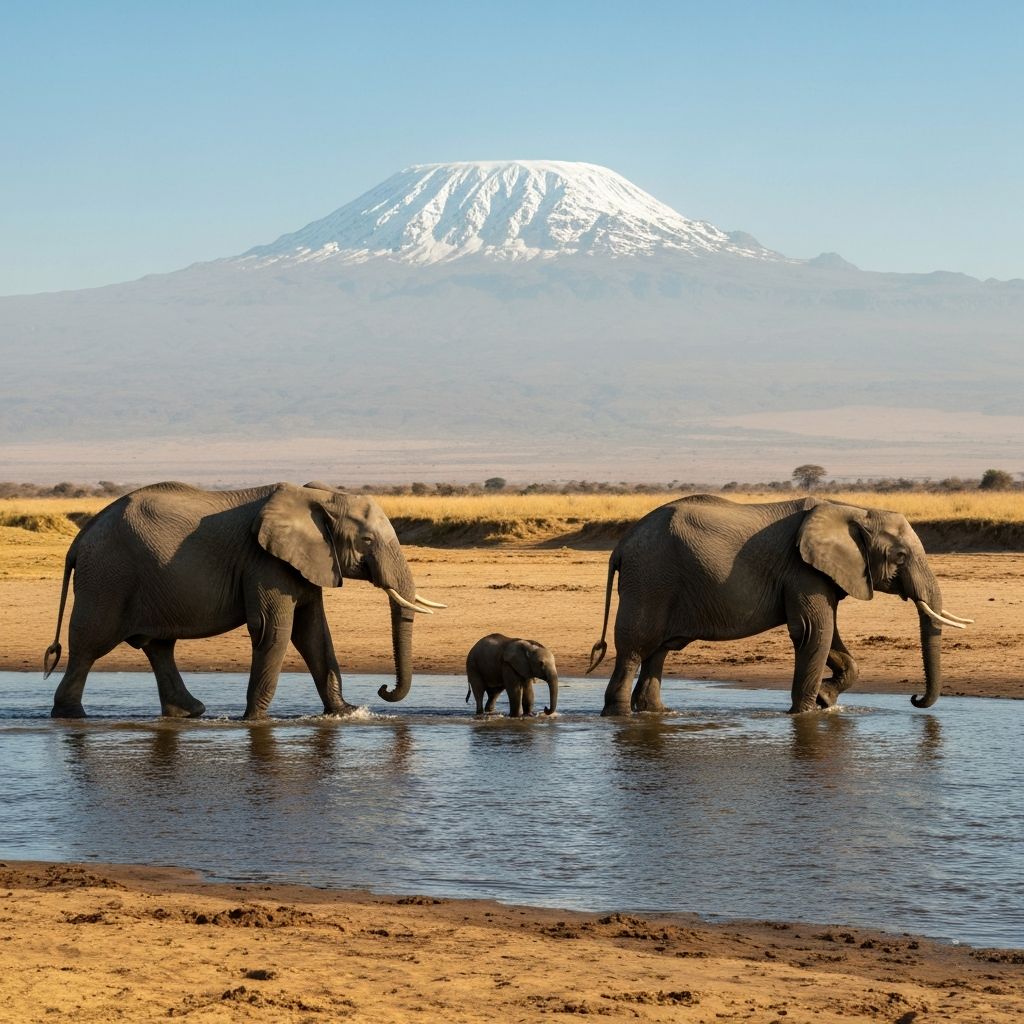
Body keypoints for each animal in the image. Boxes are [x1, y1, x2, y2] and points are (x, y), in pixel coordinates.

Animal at [44, 481, 444, 720]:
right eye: (367, 541)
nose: (383, 689)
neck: (319, 496)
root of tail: (80, 538)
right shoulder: (265, 562)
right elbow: (273, 631)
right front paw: (254, 721)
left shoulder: (304, 562)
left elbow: (314, 633)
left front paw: (344, 713)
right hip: (107, 578)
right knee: (89, 646)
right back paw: (70, 716)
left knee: (158, 646)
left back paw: (189, 712)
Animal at [587, 494, 972, 716]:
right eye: (900, 556)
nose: (915, 699)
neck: (854, 510)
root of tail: (621, 546)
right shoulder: (802, 568)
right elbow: (814, 632)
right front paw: (805, 714)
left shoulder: (821, 573)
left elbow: (830, 637)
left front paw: (826, 700)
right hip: (649, 578)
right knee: (634, 649)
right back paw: (618, 717)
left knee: (659, 652)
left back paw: (655, 714)